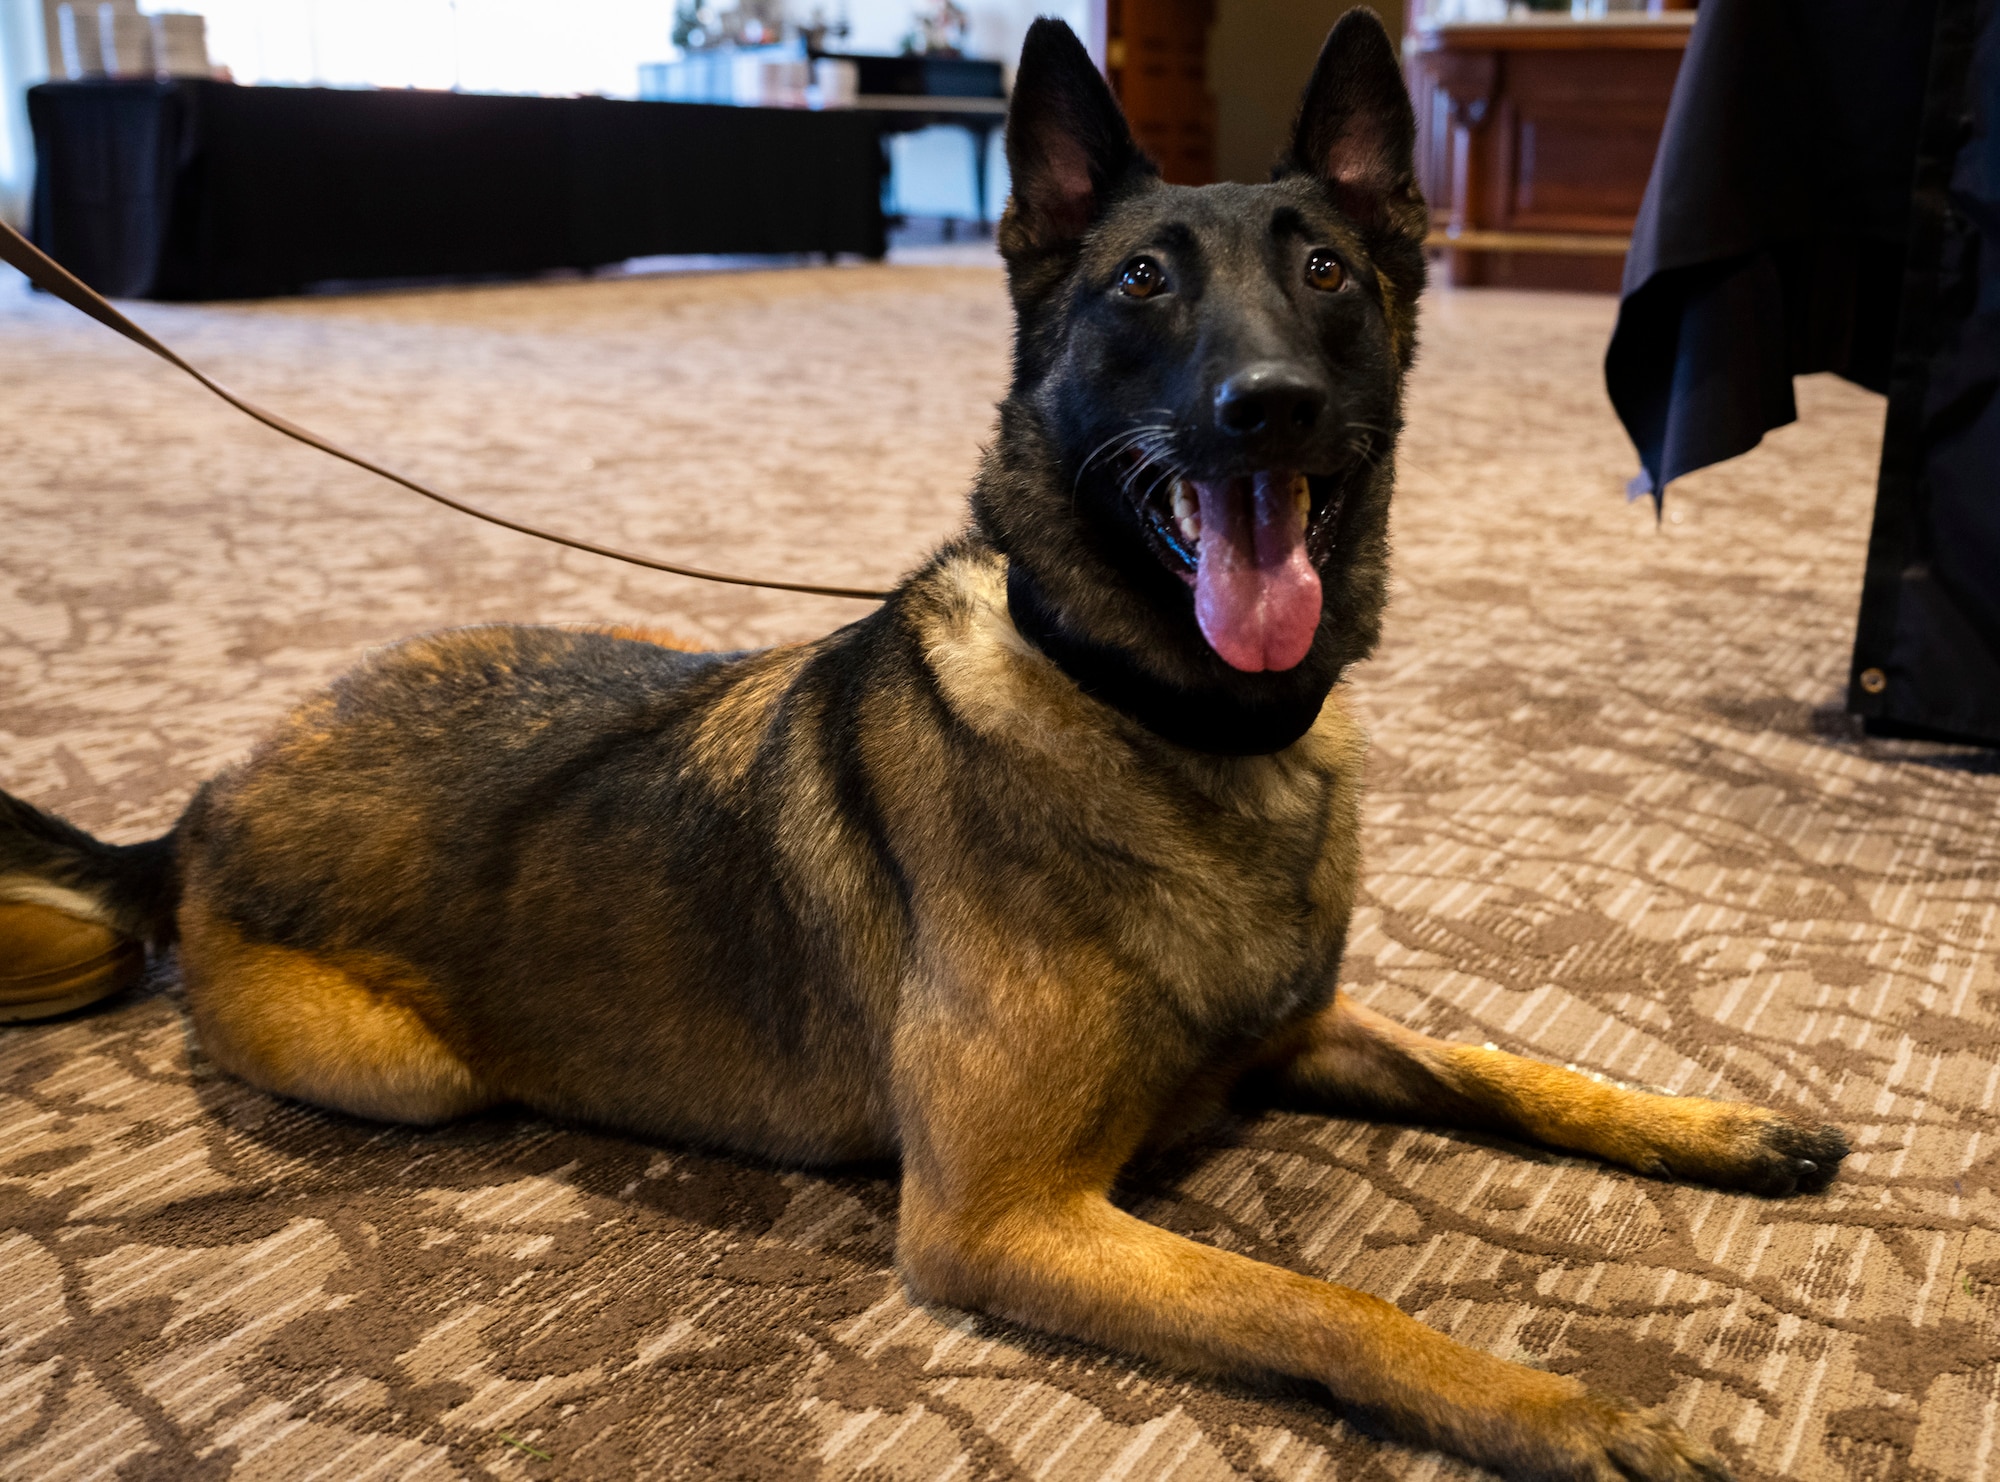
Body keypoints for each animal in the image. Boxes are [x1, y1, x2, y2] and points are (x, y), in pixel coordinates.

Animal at [0, 14, 1840, 1480]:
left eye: (1327, 272)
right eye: (1141, 282)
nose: (1266, 406)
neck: (1164, 718)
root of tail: (202, 802)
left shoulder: (1298, 1035)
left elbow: (1502, 1065)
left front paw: (1715, 1128)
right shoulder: (1002, 1222)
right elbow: (1326, 1301)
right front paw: (1551, 1408)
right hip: (411, 1072)